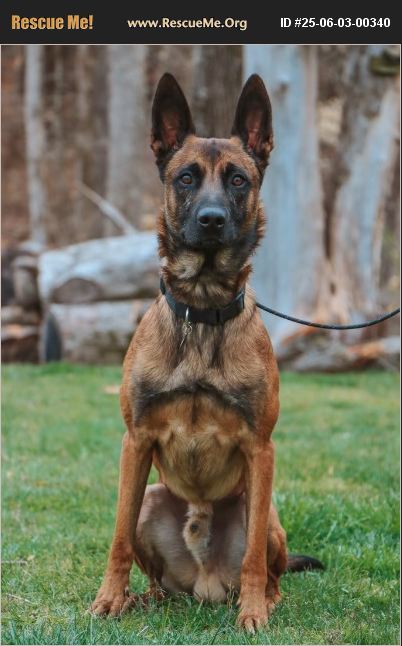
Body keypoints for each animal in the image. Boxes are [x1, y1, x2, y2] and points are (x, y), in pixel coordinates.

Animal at [91, 73, 322, 632]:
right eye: (186, 178)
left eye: (238, 180)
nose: (212, 220)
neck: (203, 309)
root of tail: (204, 584)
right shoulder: (135, 442)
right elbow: (117, 538)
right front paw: (108, 599)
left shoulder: (261, 449)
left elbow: (254, 556)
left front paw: (254, 613)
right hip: (153, 497)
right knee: (153, 572)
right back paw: (142, 598)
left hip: (267, 512)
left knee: (266, 564)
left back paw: (262, 599)